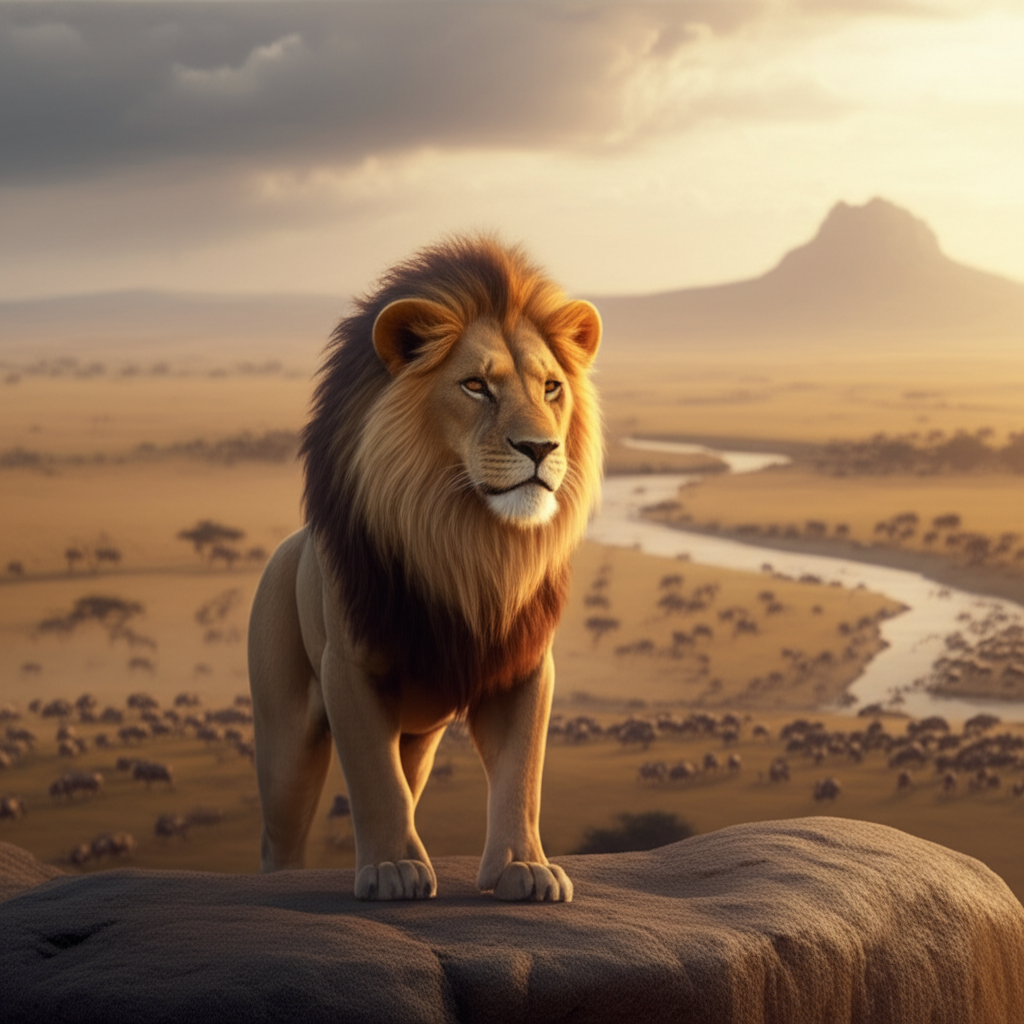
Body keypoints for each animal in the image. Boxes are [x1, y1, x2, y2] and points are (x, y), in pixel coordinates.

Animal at [248, 235, 602, 901]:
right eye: (476, 386)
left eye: (550, 388)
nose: (541, 448)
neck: (465, 544)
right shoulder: (348, 666)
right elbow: (372, 778)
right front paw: (392, 869)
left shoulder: (523, 666)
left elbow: (521, 774)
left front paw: (525, 868)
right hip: (282, 740)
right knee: (281, 831)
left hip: (417, 735)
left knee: (408, 776)